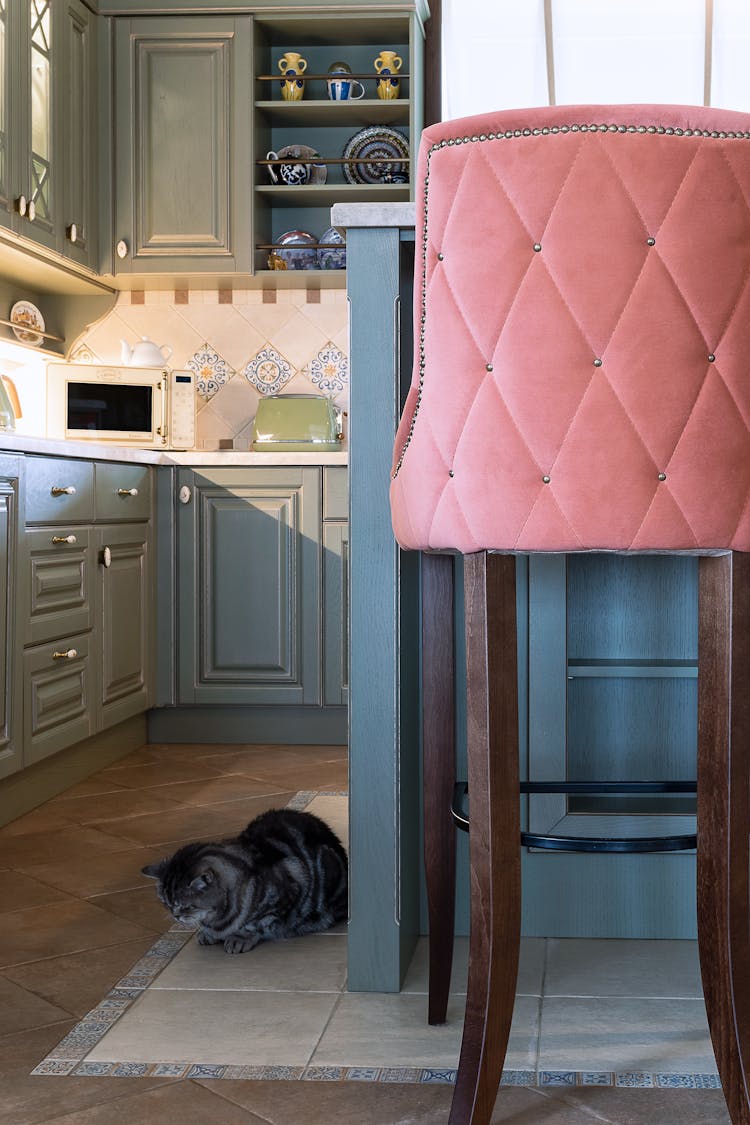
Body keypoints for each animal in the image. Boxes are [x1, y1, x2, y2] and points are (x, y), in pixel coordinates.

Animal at [141, 805, 348, 954]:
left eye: (185, 905)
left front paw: (239, 938)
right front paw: (207, 933)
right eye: (166, 904)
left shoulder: (288, 892)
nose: (175, 915)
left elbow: (256, 923)